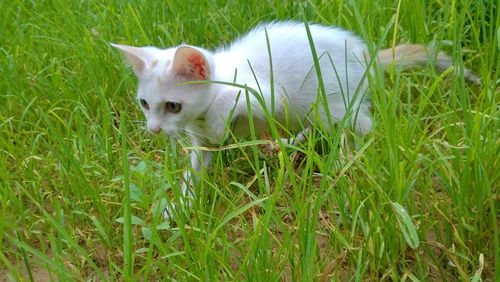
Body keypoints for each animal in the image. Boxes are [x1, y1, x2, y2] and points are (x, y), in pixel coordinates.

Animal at [111, 21, 478, 218]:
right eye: (145, 104)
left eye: (173, 106)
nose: (153, 129)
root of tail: (366, 55)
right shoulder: (200, 146)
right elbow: (195, 172)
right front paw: (180, 206)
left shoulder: (265, 93)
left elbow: (229, 104)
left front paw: (219, 125)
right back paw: (290, 143)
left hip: (330, 102)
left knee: (359, 127)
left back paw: (341, 161)